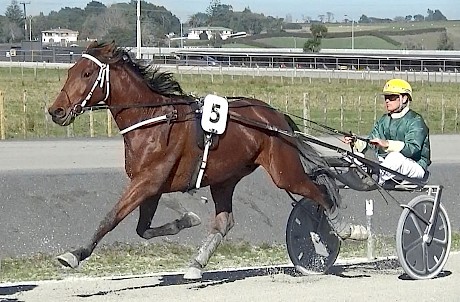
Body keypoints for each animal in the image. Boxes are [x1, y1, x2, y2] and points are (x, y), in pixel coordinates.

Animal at [48, 41, 366, 280]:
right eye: (71, 70)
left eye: (87, 73)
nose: (56, 110)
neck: (152, 119)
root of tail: (276, 116)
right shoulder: (151, 186)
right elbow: (143, 229)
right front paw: (186, 220)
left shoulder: (146, 182)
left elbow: (110, 218)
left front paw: (74, 254)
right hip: (225, 178)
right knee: (225, 221)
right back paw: (196, 264)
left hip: (283, 171)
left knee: (320, 192)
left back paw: (344, 229)